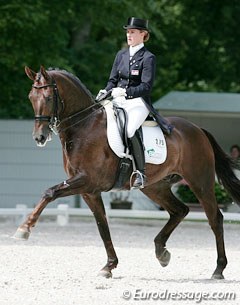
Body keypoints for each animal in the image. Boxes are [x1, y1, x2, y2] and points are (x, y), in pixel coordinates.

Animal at [14, 65, 240, 280]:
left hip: (200, 182)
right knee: (180, 210)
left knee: (215, 218)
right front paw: (109, 266)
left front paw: (24, 229)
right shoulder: (89, 191)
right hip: (155, 186)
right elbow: (102, 226)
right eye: (31, 97)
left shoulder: (87, 181)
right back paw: (161, 252)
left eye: (48, 97)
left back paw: (218, 269)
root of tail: (198, 129)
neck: (84, 127)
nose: (39, 137)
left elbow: (49, 192)